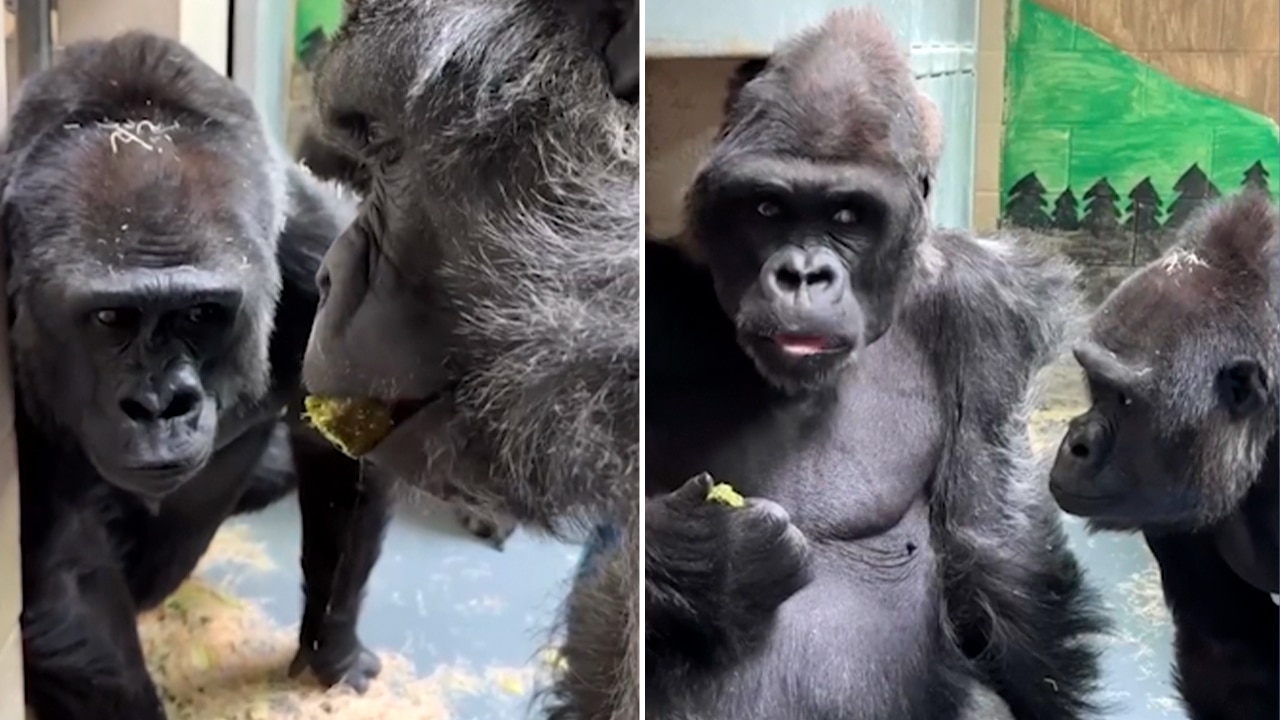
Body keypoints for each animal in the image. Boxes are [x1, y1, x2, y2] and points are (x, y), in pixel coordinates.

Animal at [1, 32, 388, 719]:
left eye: (202, 314)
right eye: (109, 317)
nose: (158, 405)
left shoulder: (325, 258)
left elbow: (345, 457)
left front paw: (334, 647)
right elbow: (61, 571)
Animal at [643, 9, 1108, 719]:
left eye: (847, 215)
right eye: (767, 208)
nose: (802, 275)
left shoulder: (987, 309)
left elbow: (992, 543)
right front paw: (703, 560)